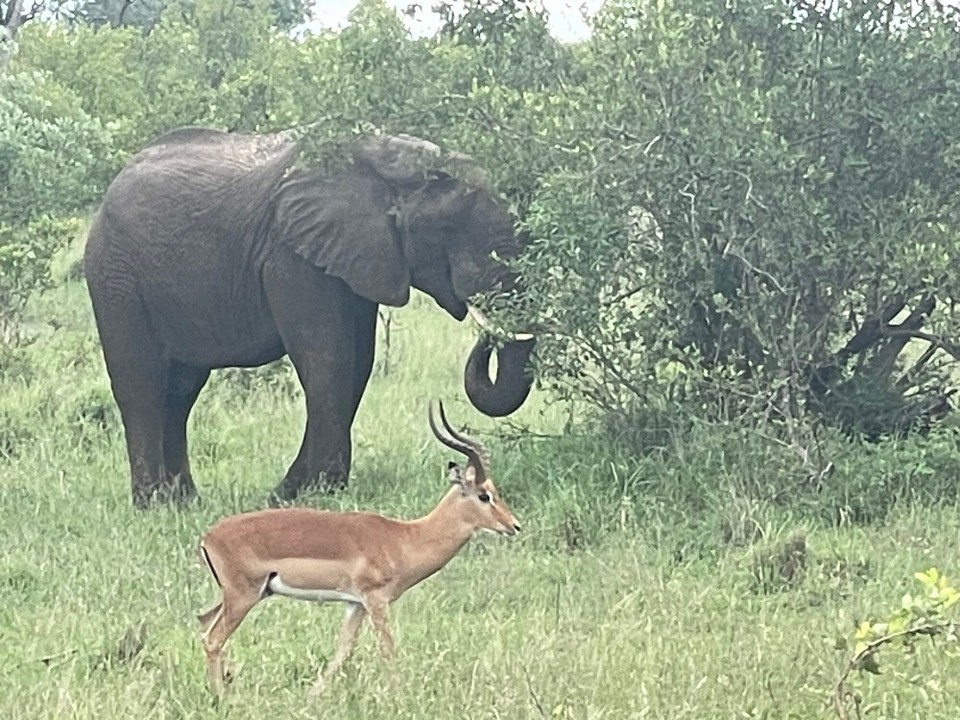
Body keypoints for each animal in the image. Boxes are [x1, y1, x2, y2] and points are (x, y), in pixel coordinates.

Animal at [83, 128, 536, 512]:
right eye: (450, 231)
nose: (487, 332)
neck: (391, 162)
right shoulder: (291, 257)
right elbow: (327, 360)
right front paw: (316, 493)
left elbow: (358, 364)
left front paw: (293, 494)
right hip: (114, 275)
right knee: (140, 383)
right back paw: (152, 504)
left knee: (180, 391)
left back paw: (185, 503)